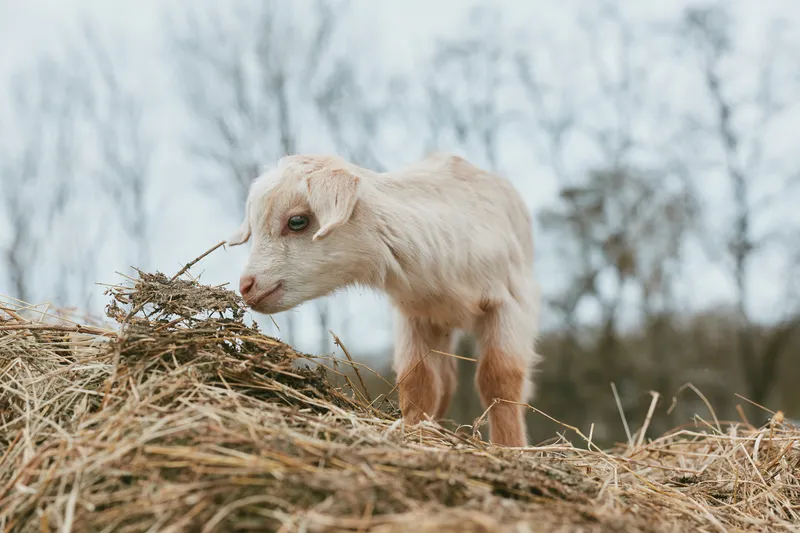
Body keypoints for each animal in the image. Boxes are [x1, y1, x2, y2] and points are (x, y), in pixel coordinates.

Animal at [227, 153, 541, 447]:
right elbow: (418, 381)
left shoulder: (510, 303)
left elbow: (499, 379)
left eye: (297, 221)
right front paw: (415, 433)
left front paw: (510, 446)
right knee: (445, 381)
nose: (247, 286)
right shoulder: (413, 313)